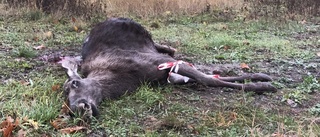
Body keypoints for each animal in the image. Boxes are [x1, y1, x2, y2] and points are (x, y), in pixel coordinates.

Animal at [60, 17, 278, 116]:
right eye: (65, 93)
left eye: (73, 84)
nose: (75, 109)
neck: (124, 81)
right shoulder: (168, 74)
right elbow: (209, 78)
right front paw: (260, 79)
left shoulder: (162, 64)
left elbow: (209, 79)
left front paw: (262, 83)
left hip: (145, 35)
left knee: (160, 46)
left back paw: (169, 47)